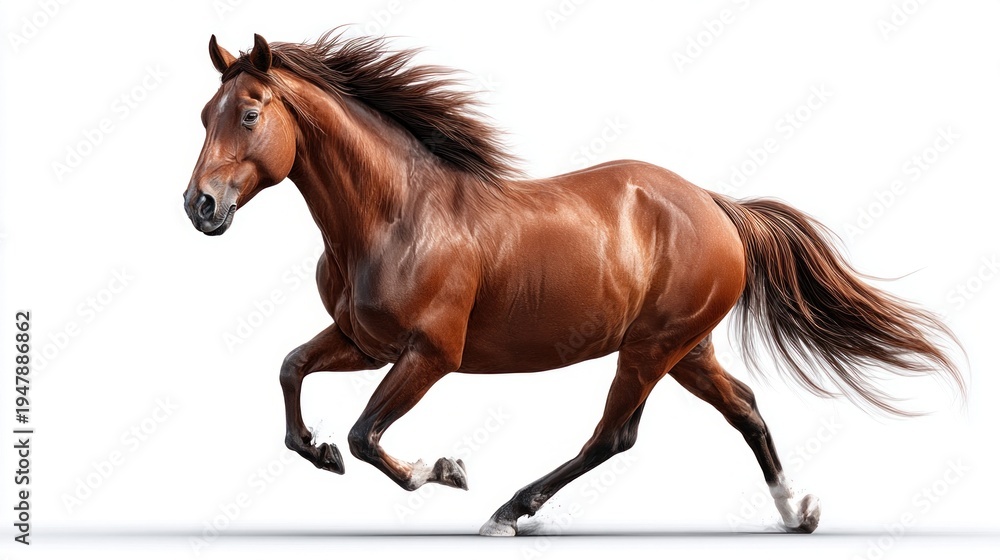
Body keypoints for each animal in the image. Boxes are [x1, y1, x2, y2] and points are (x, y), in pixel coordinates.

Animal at [182, 31, 964, 536]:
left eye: (248, 113)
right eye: (203, 115)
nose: (200, 206)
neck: (395, 214)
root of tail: (715, 205)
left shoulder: (430, 354)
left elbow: (369, 434)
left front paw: (445, 469)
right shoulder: (363, 339)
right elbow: (292, 371)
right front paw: (319, 451)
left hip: (651, 348)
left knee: (615, 434)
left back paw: (510, 511)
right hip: (689, 349)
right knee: (742, 407)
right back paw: (796, 511)